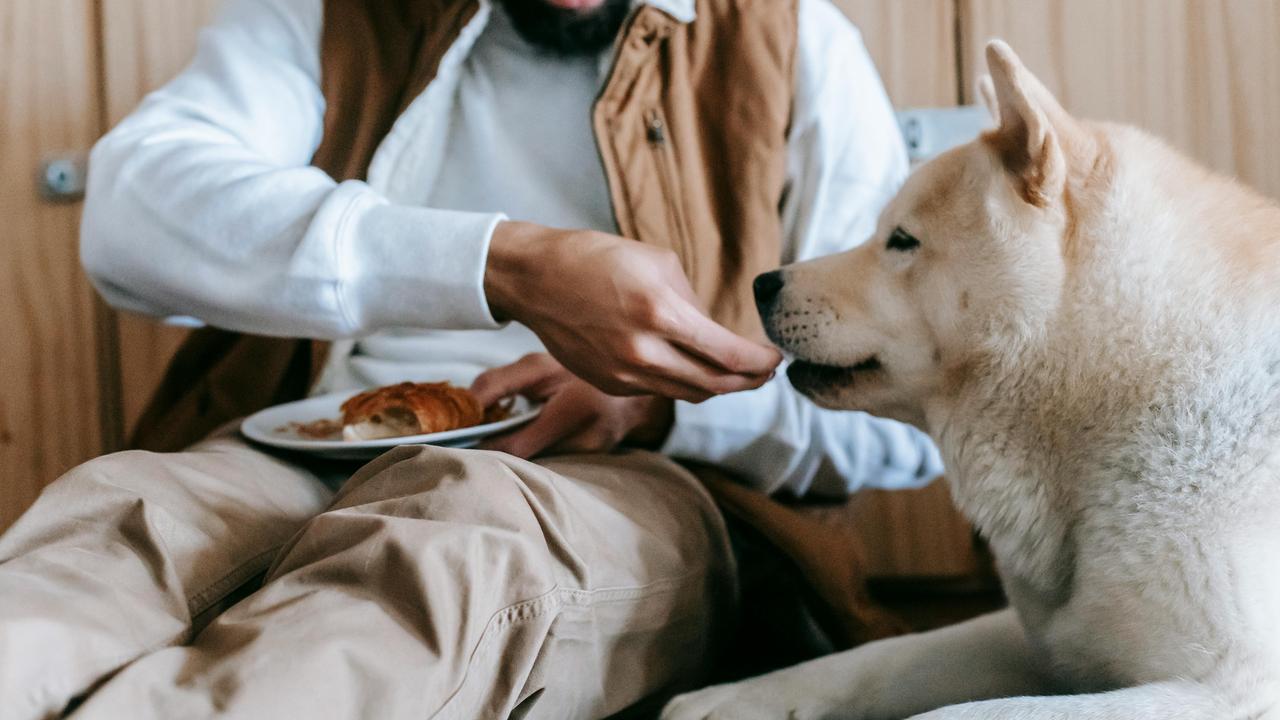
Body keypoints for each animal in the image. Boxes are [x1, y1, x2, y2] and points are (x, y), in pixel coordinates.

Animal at [660, 39, 1280, 717]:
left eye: (902, 240)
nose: (762, 285)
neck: (1133, 380)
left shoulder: (1227, 687)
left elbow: (954, 714)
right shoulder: (1045, 641)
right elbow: (878, 658)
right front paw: (736, 695)